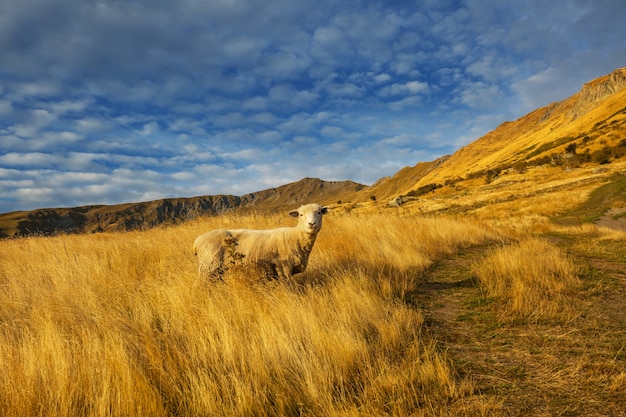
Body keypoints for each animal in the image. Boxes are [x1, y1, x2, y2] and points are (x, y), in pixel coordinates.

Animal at [193, 202, 330, 280]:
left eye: (319, 212)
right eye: (301, 215)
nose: (311, 224)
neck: (294, 236)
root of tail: (197, 242)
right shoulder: (283, 268)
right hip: (208, 267)